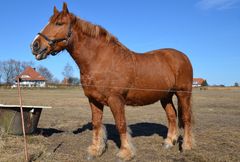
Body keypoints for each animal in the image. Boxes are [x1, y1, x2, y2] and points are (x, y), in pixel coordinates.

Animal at [30, 2, 193, 161]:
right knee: (171, 116)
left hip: (183, 94)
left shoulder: (116, 100)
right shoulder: (93, 100)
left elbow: (121, 124)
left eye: (59, 23)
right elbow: (96, 124)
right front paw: (96, 150)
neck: (101, 60)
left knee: (186, 118)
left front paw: (125, 153)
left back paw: (186, 146)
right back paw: (169, 142)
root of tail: (182, 57)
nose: (35, 45)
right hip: (165, 96)